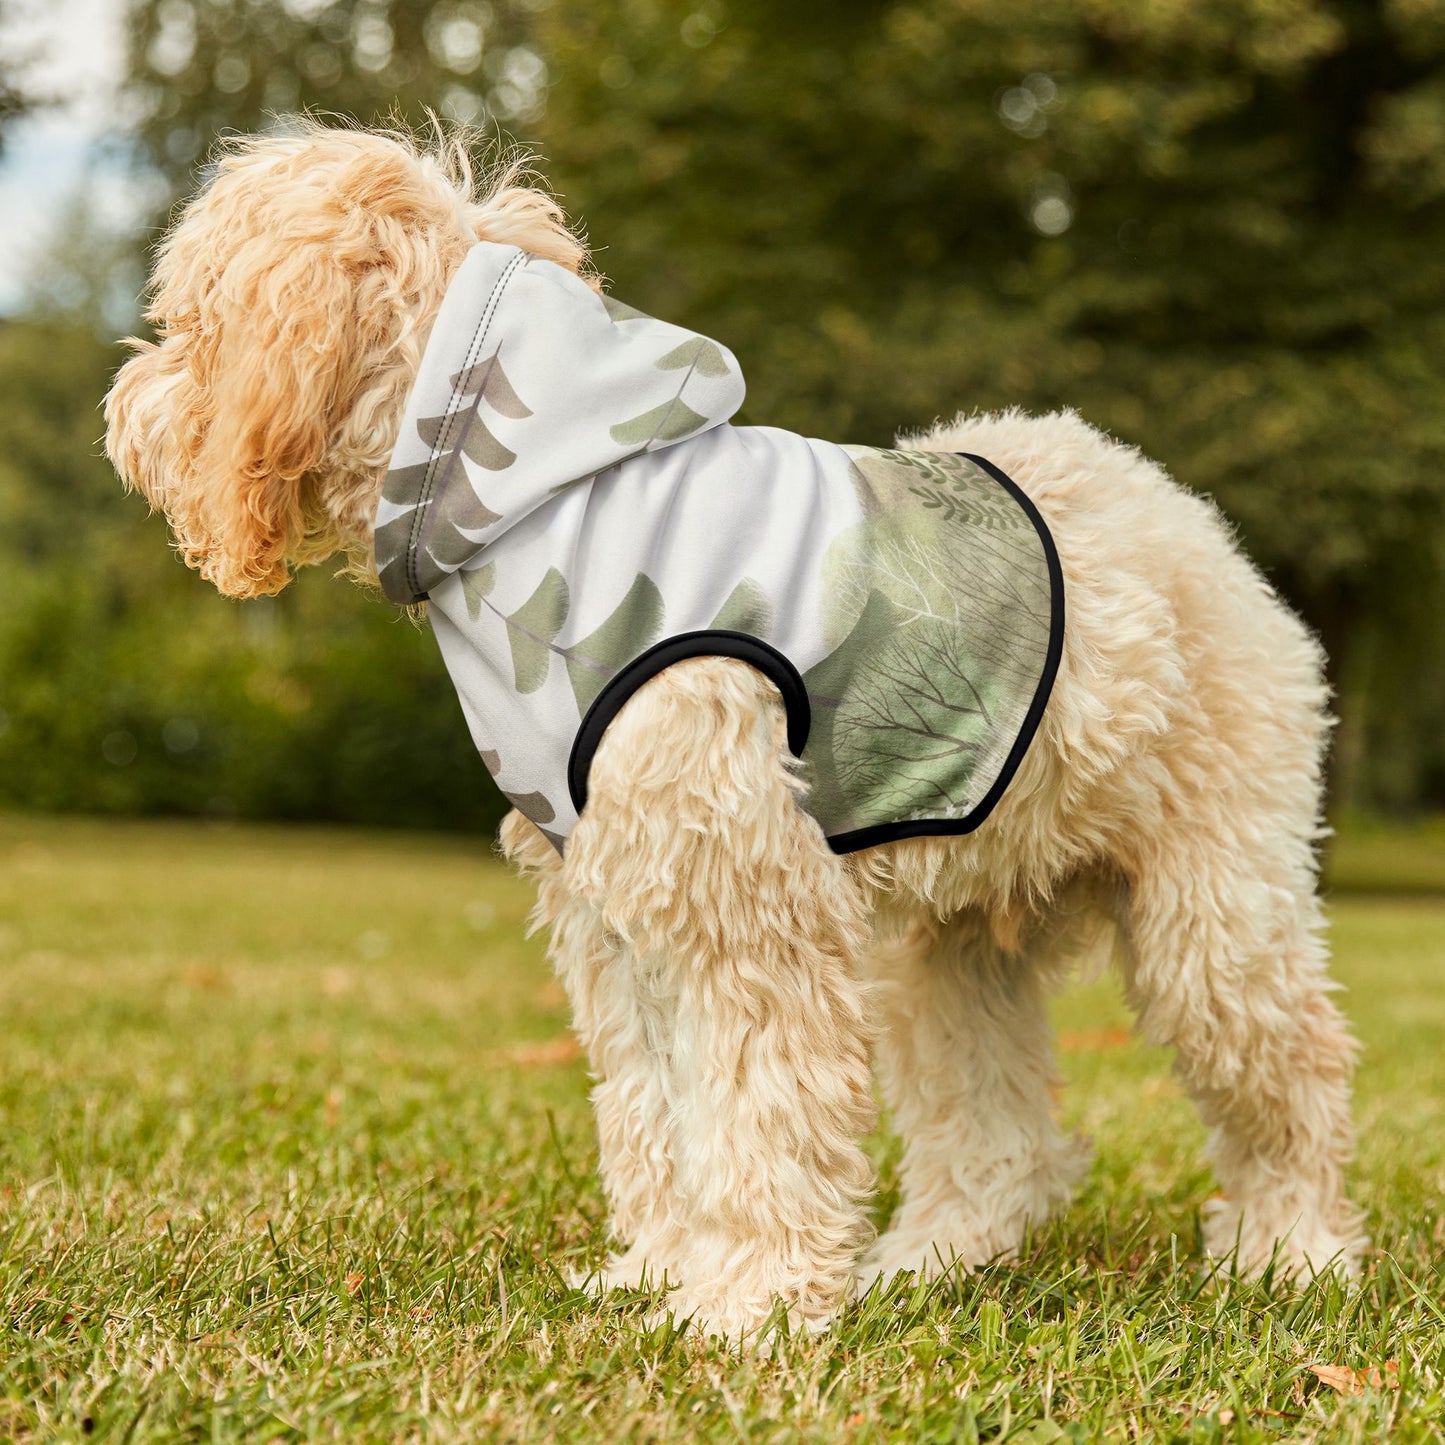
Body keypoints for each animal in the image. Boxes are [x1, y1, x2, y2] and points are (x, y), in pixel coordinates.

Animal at [104, 124, 1364, 1340]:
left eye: (190, 318)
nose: (123, 407)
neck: (540, 496)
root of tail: (1185, 517)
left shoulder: (744, 903)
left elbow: (758, 1111)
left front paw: (747, 1304)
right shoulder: (617, 910)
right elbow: (656, 1110)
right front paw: (661, 1273)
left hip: (1212, 915)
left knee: (1292, 1074)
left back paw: (1290, 1251)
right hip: (948, 948)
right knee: (995, 1134)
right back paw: (929, 1260)